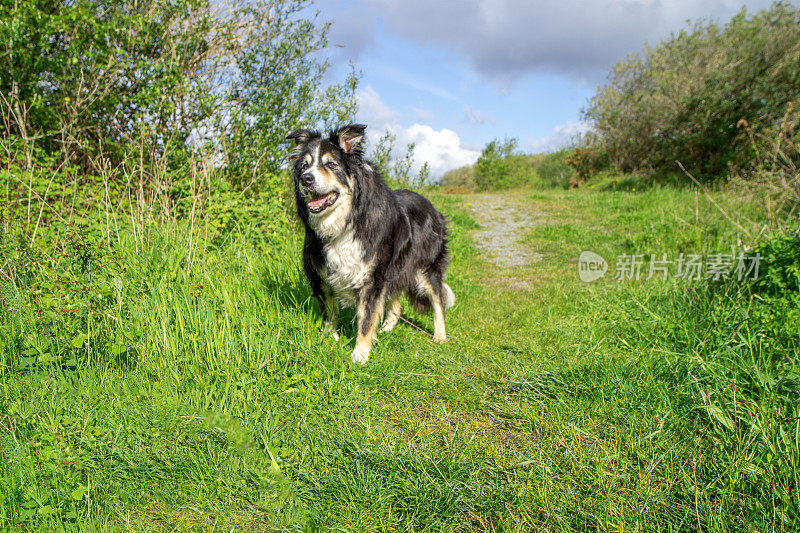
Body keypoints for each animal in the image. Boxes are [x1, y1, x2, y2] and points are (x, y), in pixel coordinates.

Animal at [284, 124, 454, 364]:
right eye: (305, 165)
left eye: (331, 164)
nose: (306, 179)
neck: (347, 223)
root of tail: (432, 207)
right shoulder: (322, 273)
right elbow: (329, 311)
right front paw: (329, 338)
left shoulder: (372, 277)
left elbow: (366, 319)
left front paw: (360, 355)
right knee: (396, 304)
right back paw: (386, 330)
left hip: (426, 267)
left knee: (438, 300)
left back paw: (440, 336)